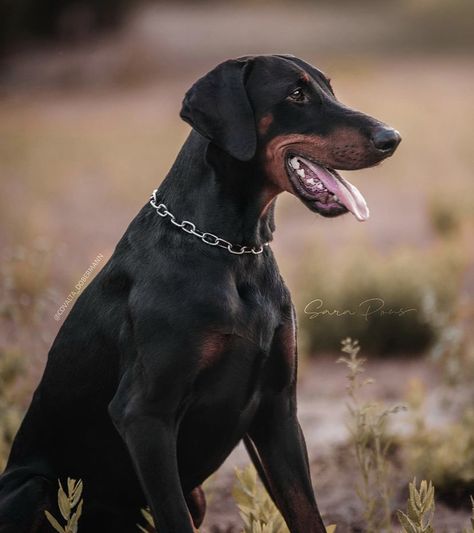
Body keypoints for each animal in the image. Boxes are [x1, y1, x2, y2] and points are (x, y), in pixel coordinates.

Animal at [0, 55, 400, 532]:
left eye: (329, 89)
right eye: (296, 93)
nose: (392, 138)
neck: (232, 249)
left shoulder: (278, 410)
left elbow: (307, 513)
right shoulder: (144, 414)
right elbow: (173, 516)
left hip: (197, 494)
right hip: (32, 487)